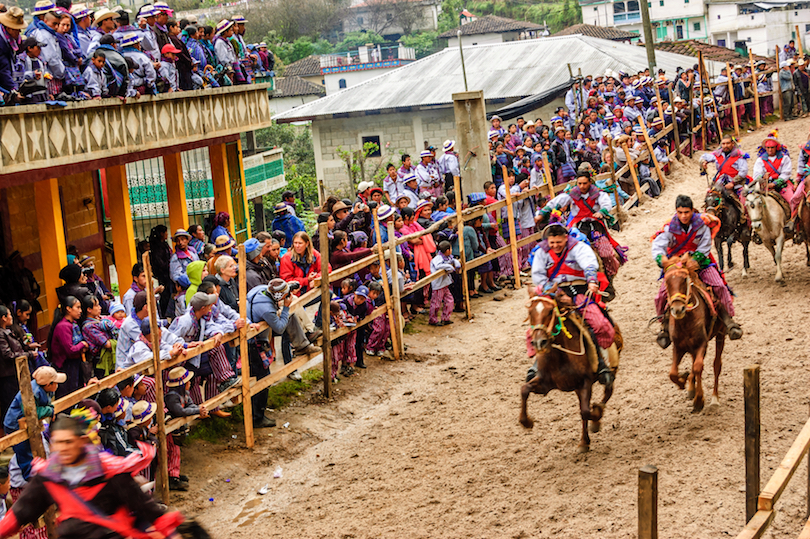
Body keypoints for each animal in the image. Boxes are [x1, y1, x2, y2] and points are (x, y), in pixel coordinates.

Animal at [516, 294, 620, 454]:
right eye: (530, 312)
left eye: (550, 311)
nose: (539, 342)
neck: (560, 356)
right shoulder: (545, 384)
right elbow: (524, 389)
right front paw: (527, 422)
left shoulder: (585, 383)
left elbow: (586, 411)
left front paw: (596, 415)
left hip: (609, 370)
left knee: (607, 391)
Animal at [660, 253, 724, 414]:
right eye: (667, 281)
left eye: (684, 279)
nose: (678, 309)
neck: (686, 321)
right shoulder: (678, 347)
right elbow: (673, 373)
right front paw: (683, 380)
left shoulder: (702, 344)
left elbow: (698, 367)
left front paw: (699, 401)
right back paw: (690, 387)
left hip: (721, 334)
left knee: (716, 365)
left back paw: (714, 399)